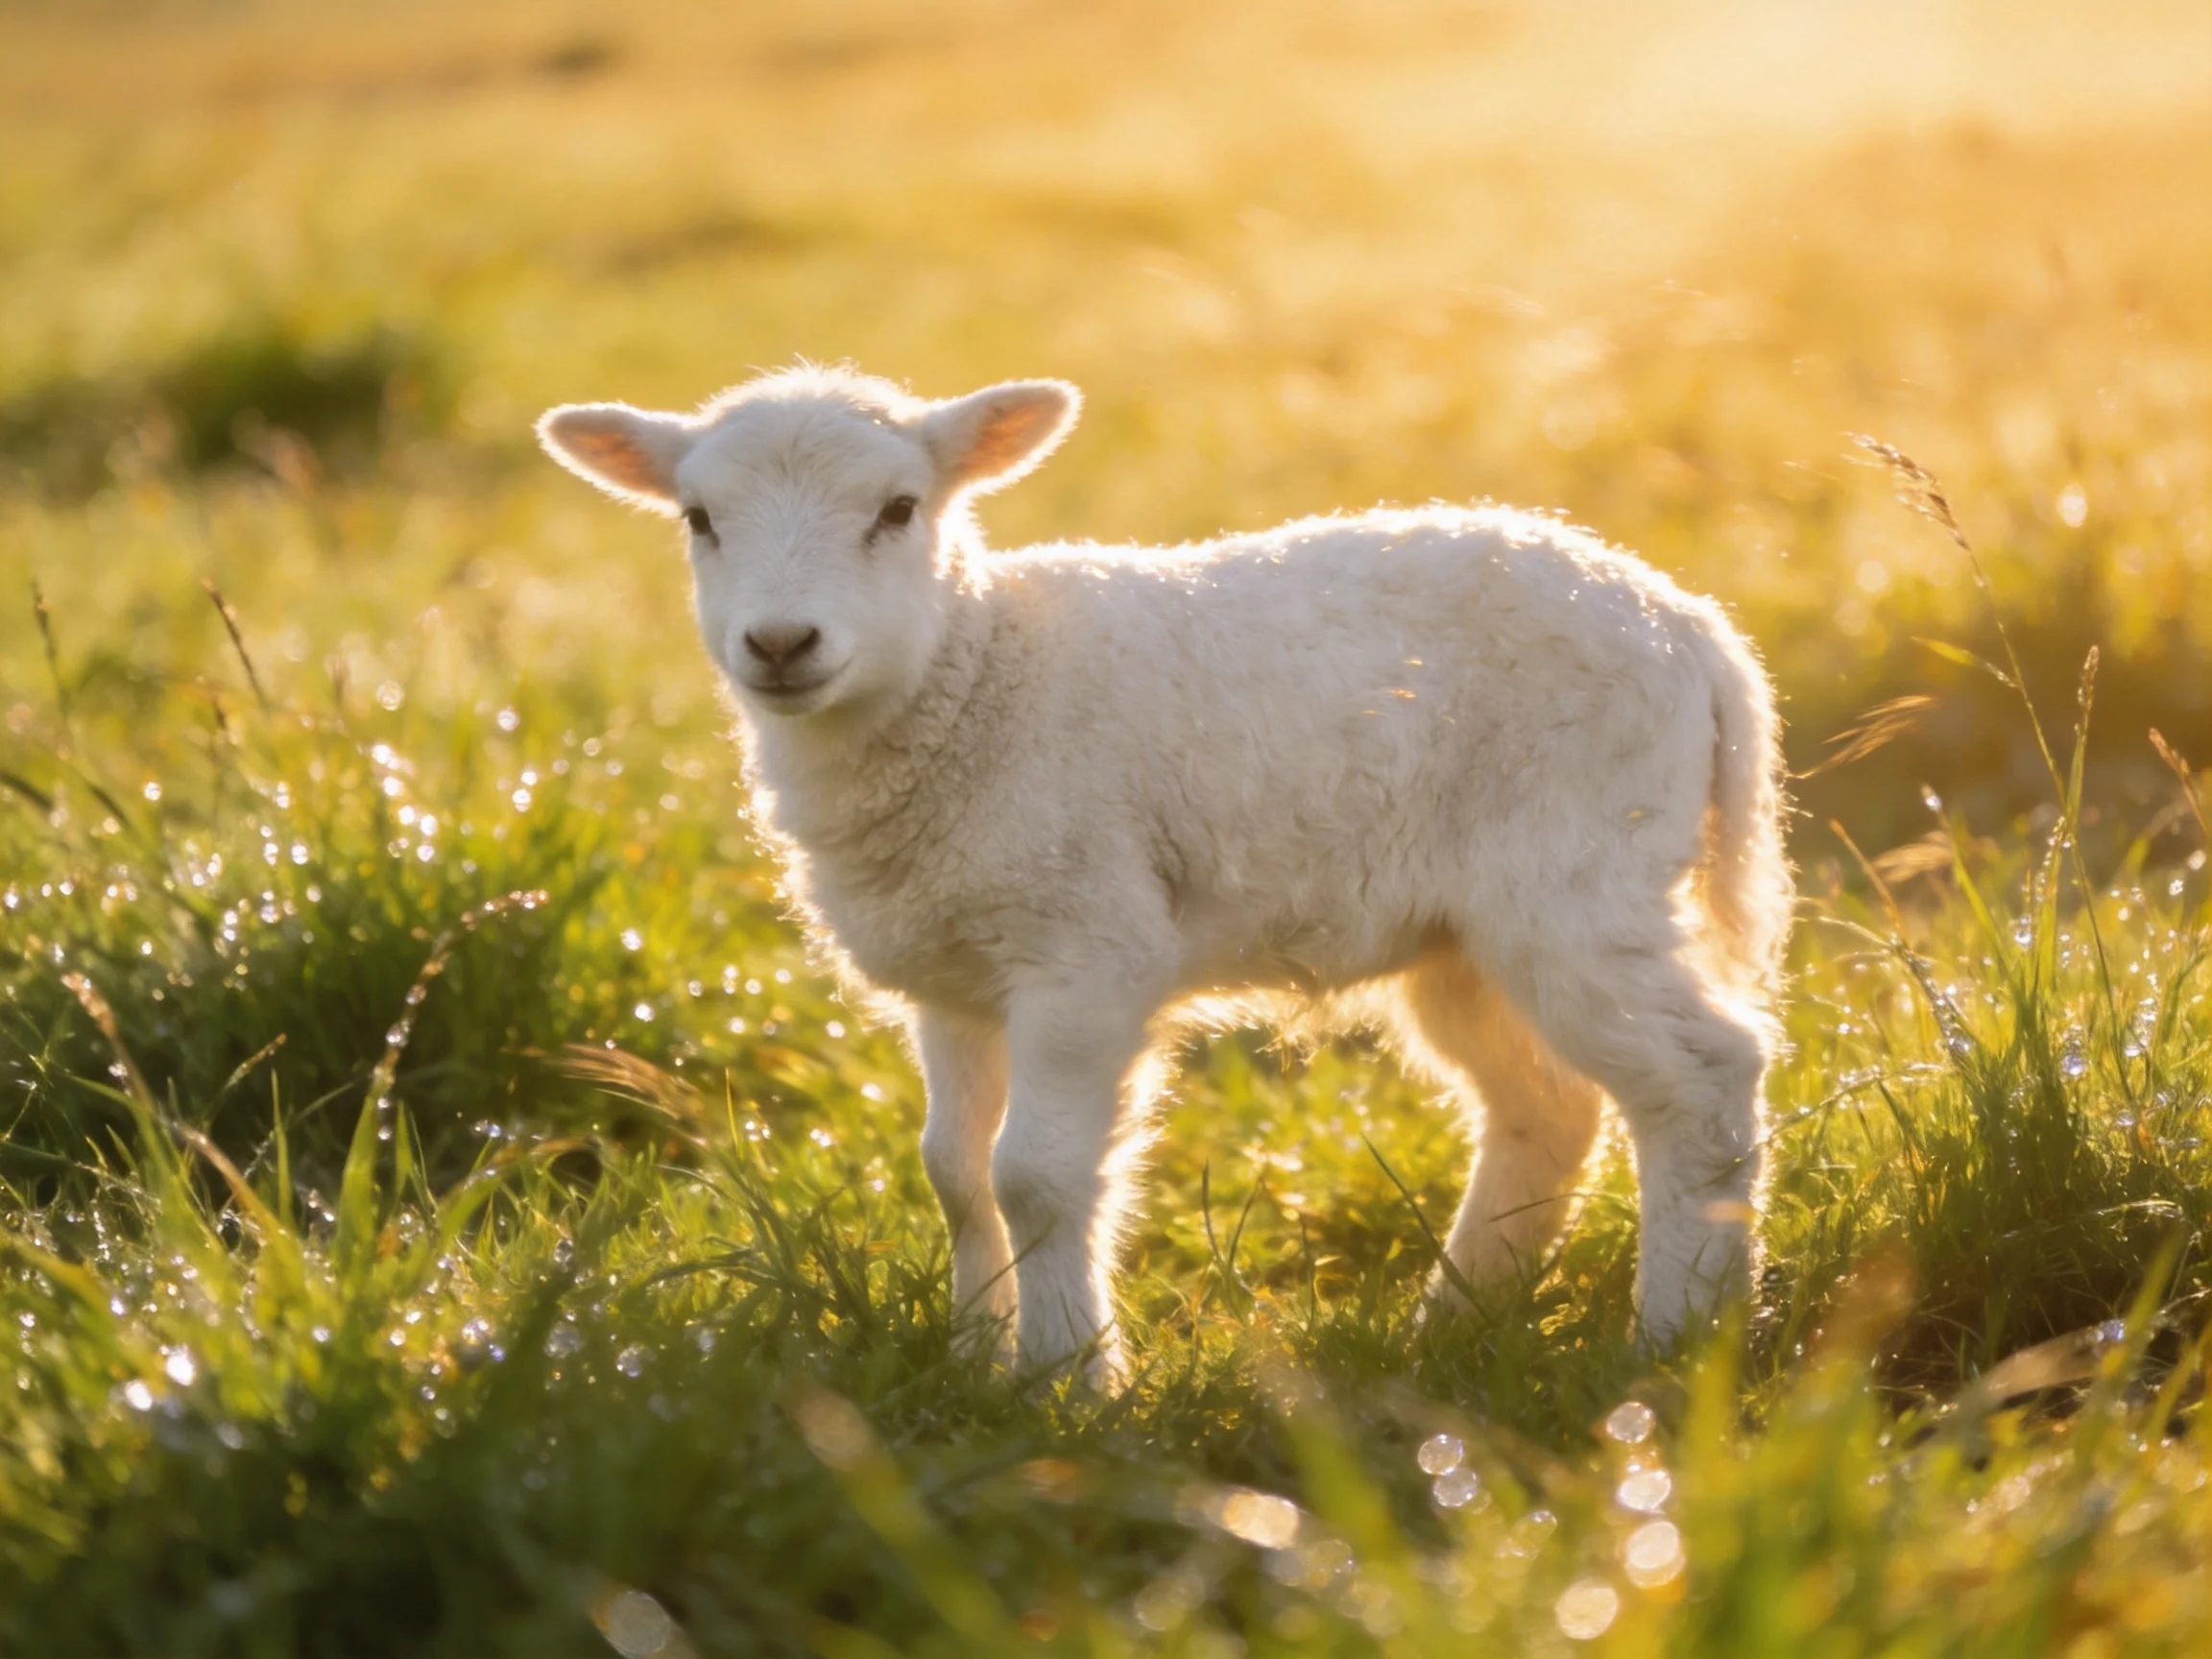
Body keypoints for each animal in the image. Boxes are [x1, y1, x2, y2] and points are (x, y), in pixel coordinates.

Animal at [538, 365, 1792, 1386]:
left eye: (899, 510)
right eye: (699, 519)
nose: (781, 645)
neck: (977, 679)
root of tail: (1698, 630)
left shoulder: (1087, 948)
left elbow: (1035, 1176)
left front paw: (1066, 1380)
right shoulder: (955, 973)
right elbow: (954, 1173)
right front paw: (972, 1358)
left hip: (1580, 872)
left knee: (1703, 1076)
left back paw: (1681, 1332)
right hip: (1468, 930)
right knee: (1546, 1105)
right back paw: (1456, 1323)